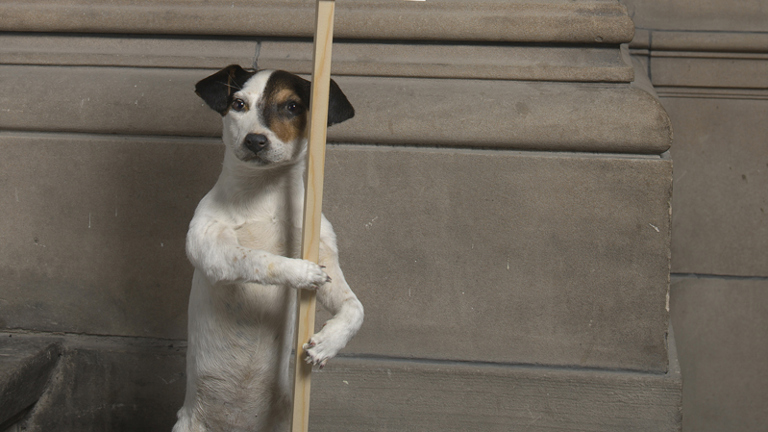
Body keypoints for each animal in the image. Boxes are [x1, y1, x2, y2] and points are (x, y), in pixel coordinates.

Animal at [174, 65, 366, 432]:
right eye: (238, 104)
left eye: (291, 107)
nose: (255, 140)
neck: (263, 194)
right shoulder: (211, 249)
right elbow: (257, 258)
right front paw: (299, 271)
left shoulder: (329, 259)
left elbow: (355, 307)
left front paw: (327, 343)